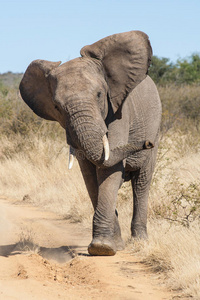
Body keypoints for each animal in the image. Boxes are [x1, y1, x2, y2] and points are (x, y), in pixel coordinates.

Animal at [19, 29, 162, 255]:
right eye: (57, 106)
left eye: (99, 95)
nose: (146, 142)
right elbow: (90, 176)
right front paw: (108, 246)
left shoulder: (118, 112)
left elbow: (108, 171)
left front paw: (102, 248)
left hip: (156, 125)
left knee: (142, 181)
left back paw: (141, 241)